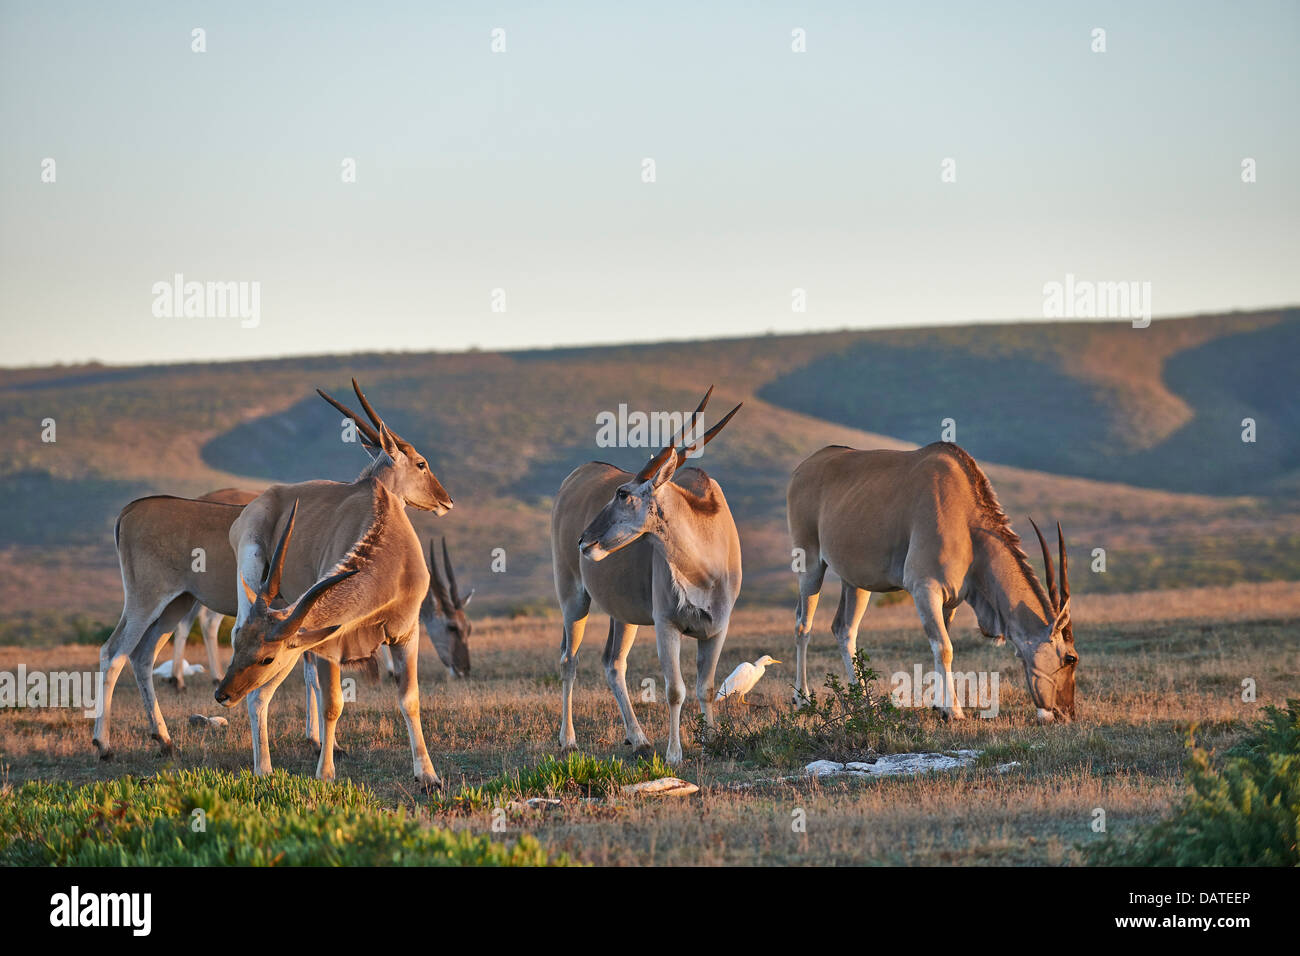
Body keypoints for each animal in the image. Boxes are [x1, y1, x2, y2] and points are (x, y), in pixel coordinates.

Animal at [218, 377, 452, 790]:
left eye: (264, 656)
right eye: (421, 464)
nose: (446, 500)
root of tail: (255, 505)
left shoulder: (405, 634)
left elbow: (409, 699)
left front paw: (428, 775)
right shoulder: (330, 644)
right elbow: (334, 705)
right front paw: (325, 774)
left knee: (275, 686)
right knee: (259, 694)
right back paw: (264, 767)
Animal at [553, 385, 748, 764]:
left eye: (622, 493)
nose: (584, 539)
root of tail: (573, 479)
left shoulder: (717, 628)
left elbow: (705, 687)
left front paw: (712, 741)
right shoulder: (666, 624)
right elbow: (675, 690)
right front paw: (674, 754)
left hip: (622, 616)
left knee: (613, 662)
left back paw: (639, 738)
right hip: (573, 599)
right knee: (569, 659)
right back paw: (568, 740)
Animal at [785, 444, 1071, 723]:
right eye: (1070, 658)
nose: (1066, 713)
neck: (967, 523)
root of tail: (803, 469)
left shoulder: (951, 599)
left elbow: (942, 642)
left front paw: (940, 706)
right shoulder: (924, 588)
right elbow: (944, 647)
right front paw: (954, 711)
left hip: (856, 582)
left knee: (844, 629)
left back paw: (865, 703)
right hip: (810, 565)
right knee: (802, 626)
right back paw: (804, 700)